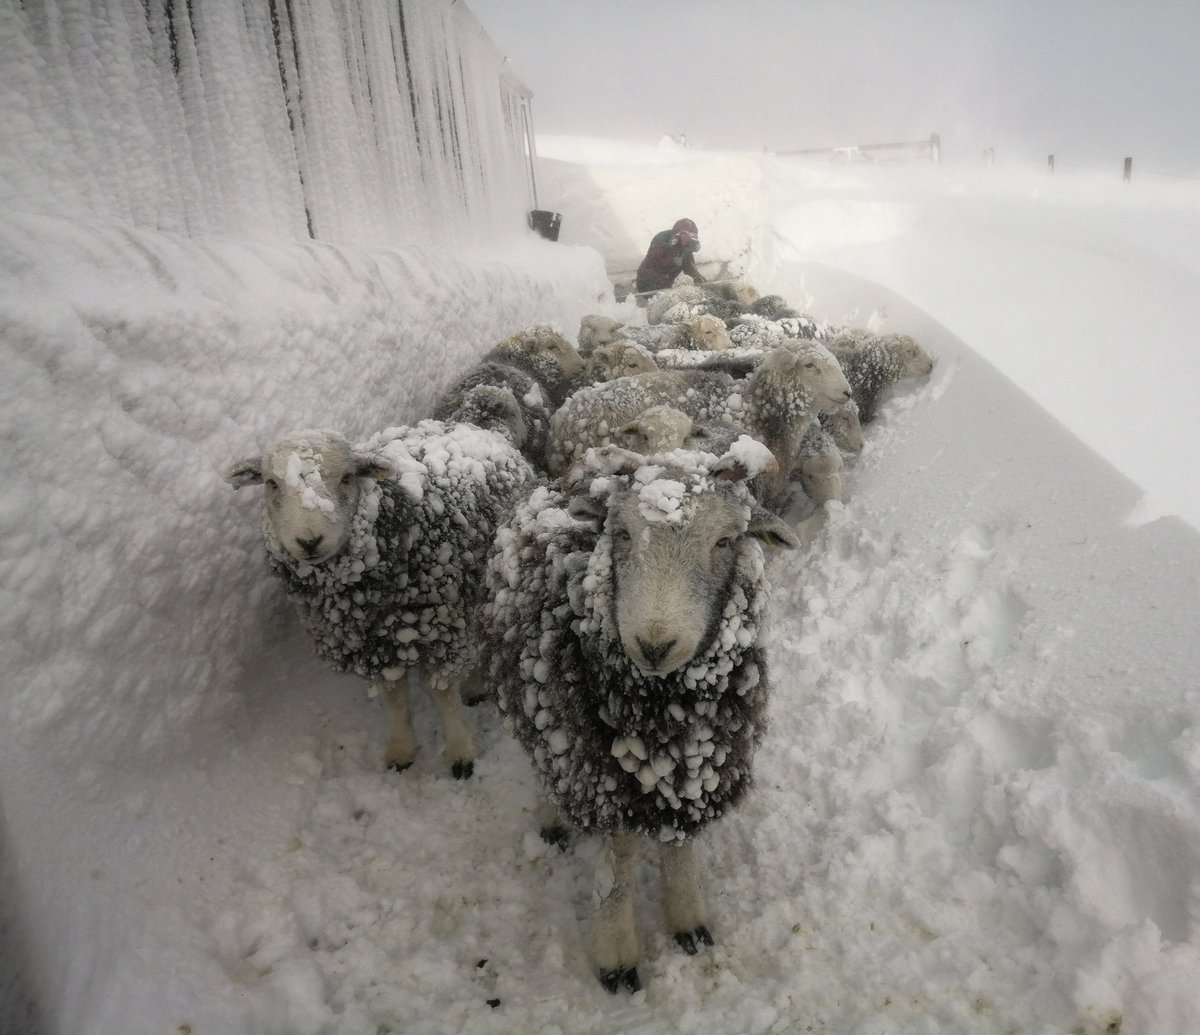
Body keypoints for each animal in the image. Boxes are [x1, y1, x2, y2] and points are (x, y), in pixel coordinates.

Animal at [226, 422, 537, 778]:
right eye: (271, 483)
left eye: (347, 477)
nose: (309, 541)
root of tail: (481, 427)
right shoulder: (373, 645)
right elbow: (395, 698)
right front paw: (402, 749)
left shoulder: (439, 626)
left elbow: (442, 694)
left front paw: (460, 751)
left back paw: (474, 686)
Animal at [482, 441, 801, 994]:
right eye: (623, 533)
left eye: (725, 540)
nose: (654, 645)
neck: (663, 716)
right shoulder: (599, 780)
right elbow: (618, 870)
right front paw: (617, 957)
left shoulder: (697, 774)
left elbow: (679, 851)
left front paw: (689, 923)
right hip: (543, 720)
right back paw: (551, 819)